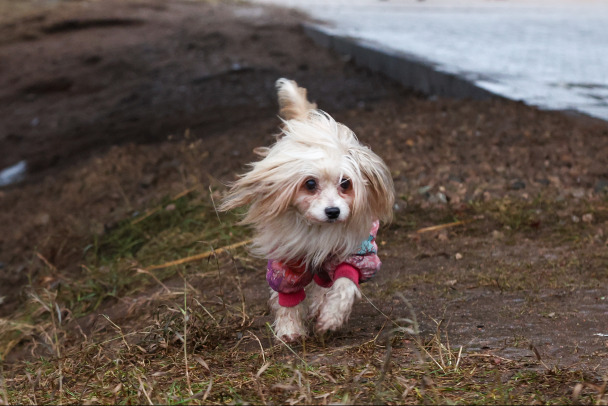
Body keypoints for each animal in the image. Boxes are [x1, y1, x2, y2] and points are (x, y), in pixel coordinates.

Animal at [220, 77, 394, 340]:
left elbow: (344, 284)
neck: (319, 231)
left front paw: (331, 317)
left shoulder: (356, 251)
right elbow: (287, 295)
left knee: (325, 281)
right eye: (310, 184)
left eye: (345, 183)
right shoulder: (287, 257)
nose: (333, 211)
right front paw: (289, 329)